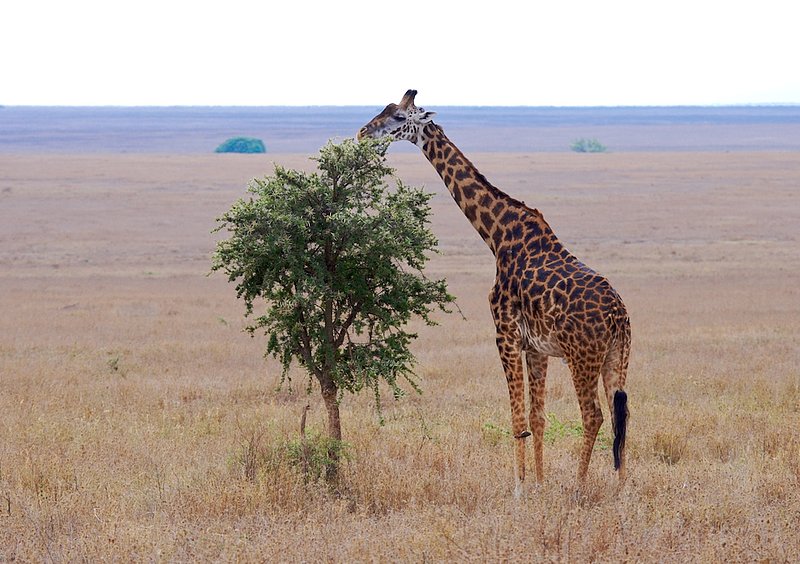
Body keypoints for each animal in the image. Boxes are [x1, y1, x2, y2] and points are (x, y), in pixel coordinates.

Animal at [358, 90, 631, 496]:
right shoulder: (536, 347)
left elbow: (517, 417)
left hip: (583, 357)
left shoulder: (505, 333)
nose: (362, 132)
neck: (497, 235)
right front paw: (539, 485)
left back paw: (579, 487)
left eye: (398, 118)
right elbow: (538, 416)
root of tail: (619, 316)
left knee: (593, 415)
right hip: (617, 355)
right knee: (620, 414)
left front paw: (519, 490)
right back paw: (622, 489)